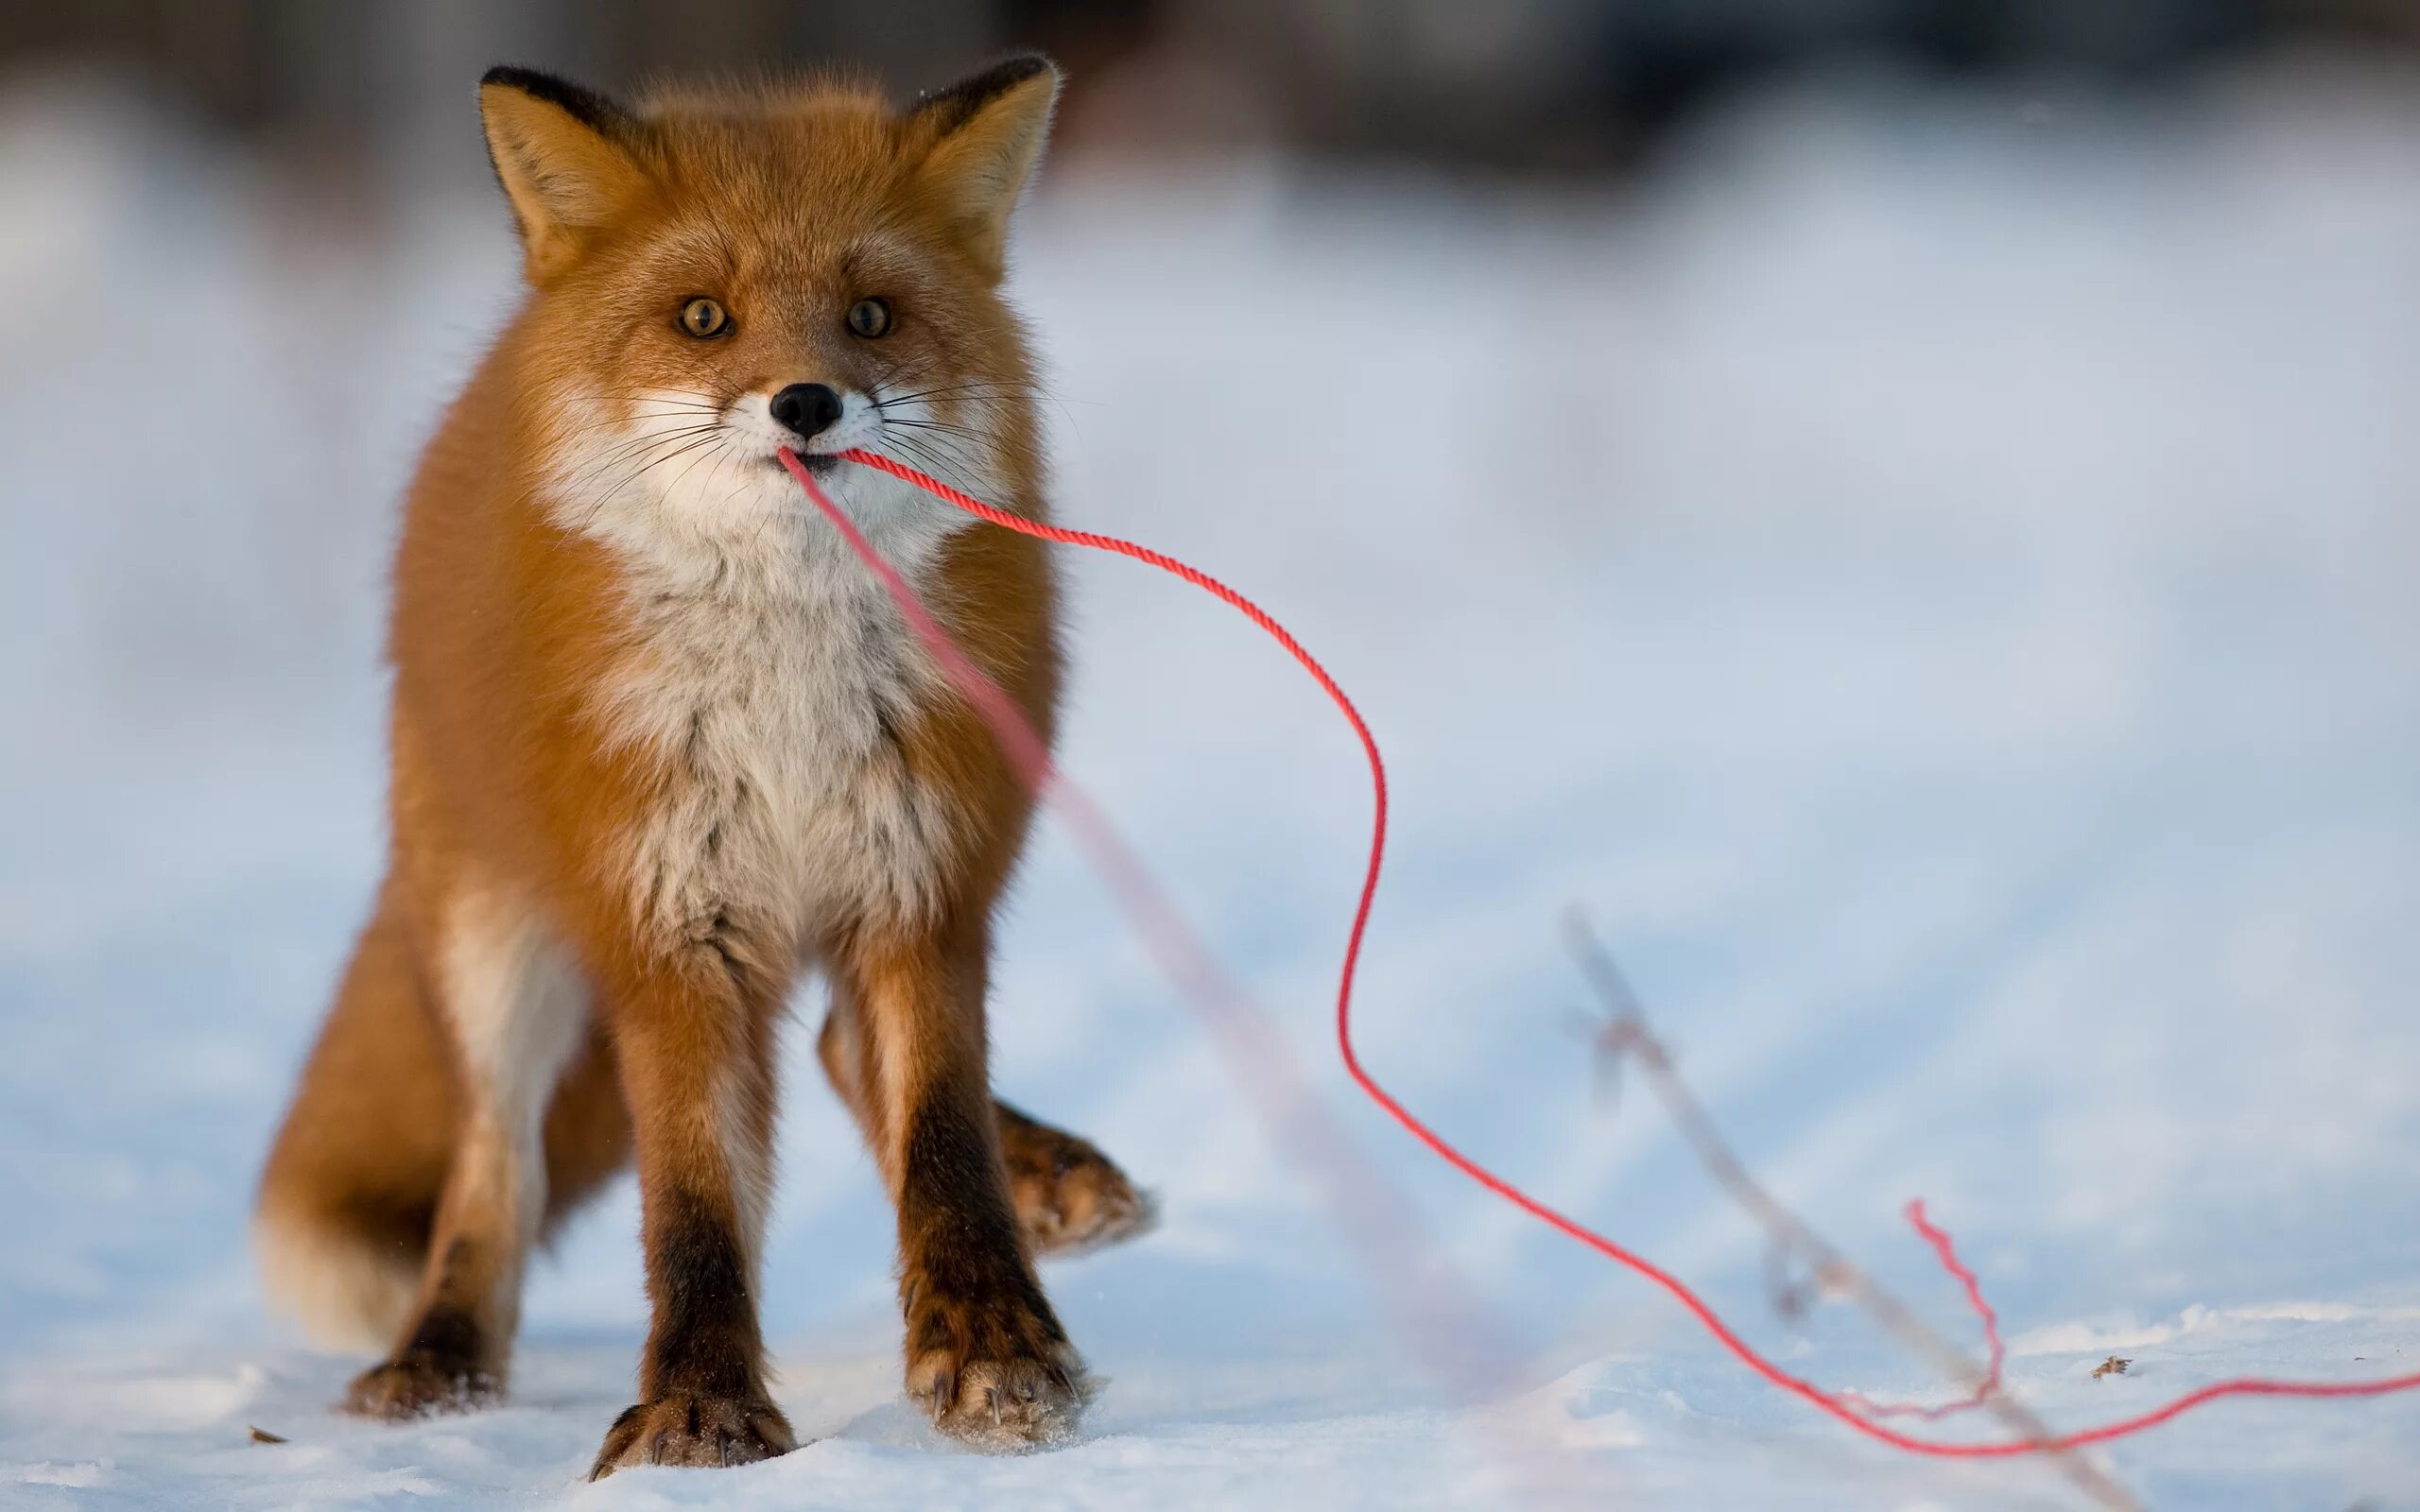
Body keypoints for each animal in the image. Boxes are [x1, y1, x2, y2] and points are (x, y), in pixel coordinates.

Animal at [255, 56, 1151, 1470]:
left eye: (871, 316)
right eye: (703, 318)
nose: (805, 401)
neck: (783, 695)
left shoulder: (921, 887)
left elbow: (945, 1143)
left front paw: (995, 1351)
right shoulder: (670, 930)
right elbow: (692, 1204)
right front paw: (700, 1408)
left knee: (843, 1050)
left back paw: (1049, 1182)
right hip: (489, 934)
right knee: (491, 1163)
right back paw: (439, 1362)